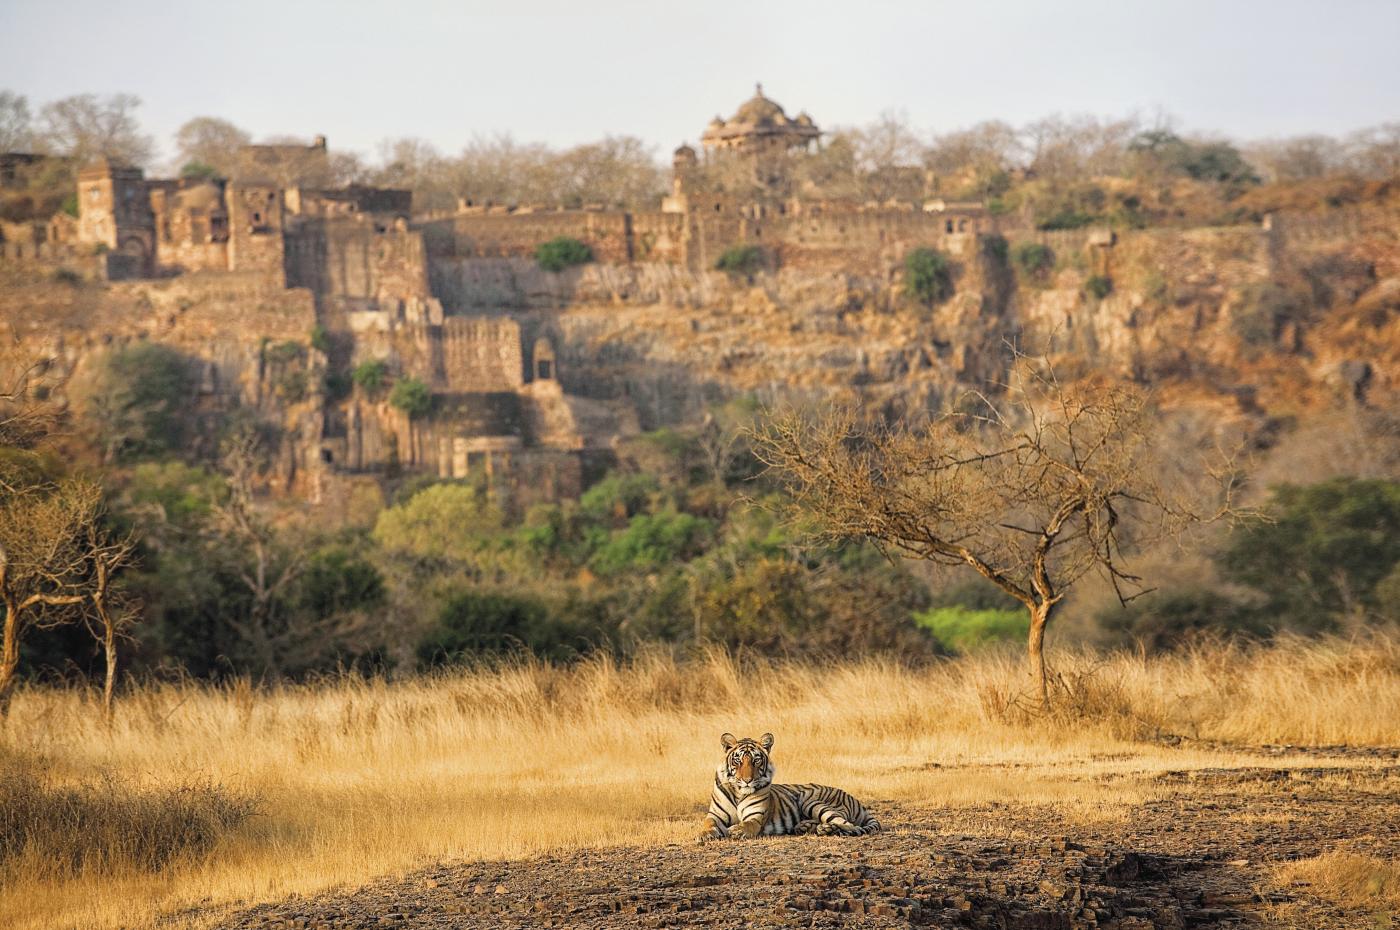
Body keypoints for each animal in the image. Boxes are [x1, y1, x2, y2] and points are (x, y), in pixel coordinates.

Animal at [697, 732, 881, 842]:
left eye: (756, 760)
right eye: (738, 761)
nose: (747, 780)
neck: (739, 792)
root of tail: (855, 800)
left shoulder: (755, 817)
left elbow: (747, 824)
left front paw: (736, 830)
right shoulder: (715, 815)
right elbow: (707, 823)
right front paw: (704, 834)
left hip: (811, 801)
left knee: (851, 826)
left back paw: (825, 828)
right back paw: (806, 827)